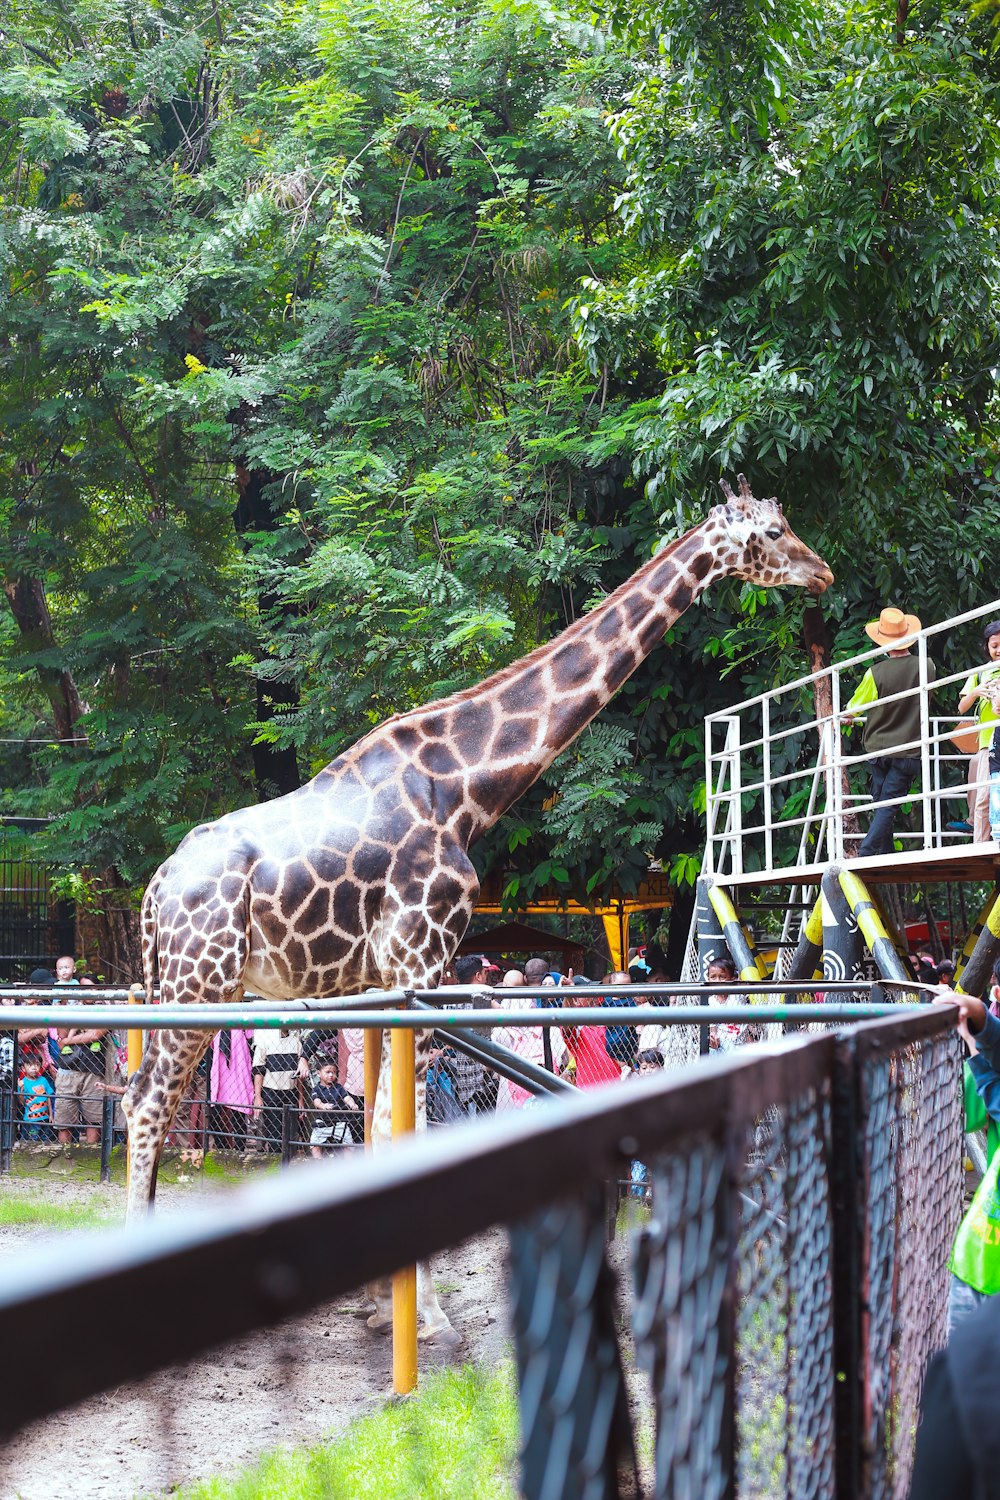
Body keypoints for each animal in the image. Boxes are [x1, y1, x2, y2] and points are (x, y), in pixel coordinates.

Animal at [121, 477, 833, 1338]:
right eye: (774, 532)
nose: (823, 573)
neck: (466, 790)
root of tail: (158, 889)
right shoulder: (422, 961)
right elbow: (407, 1132)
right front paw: (426, 1317)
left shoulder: (383, 983)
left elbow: (380, 1126)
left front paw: (382, 1306)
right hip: (203, 983)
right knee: (147, 1100)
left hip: (184, 983)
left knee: (144, 1098)